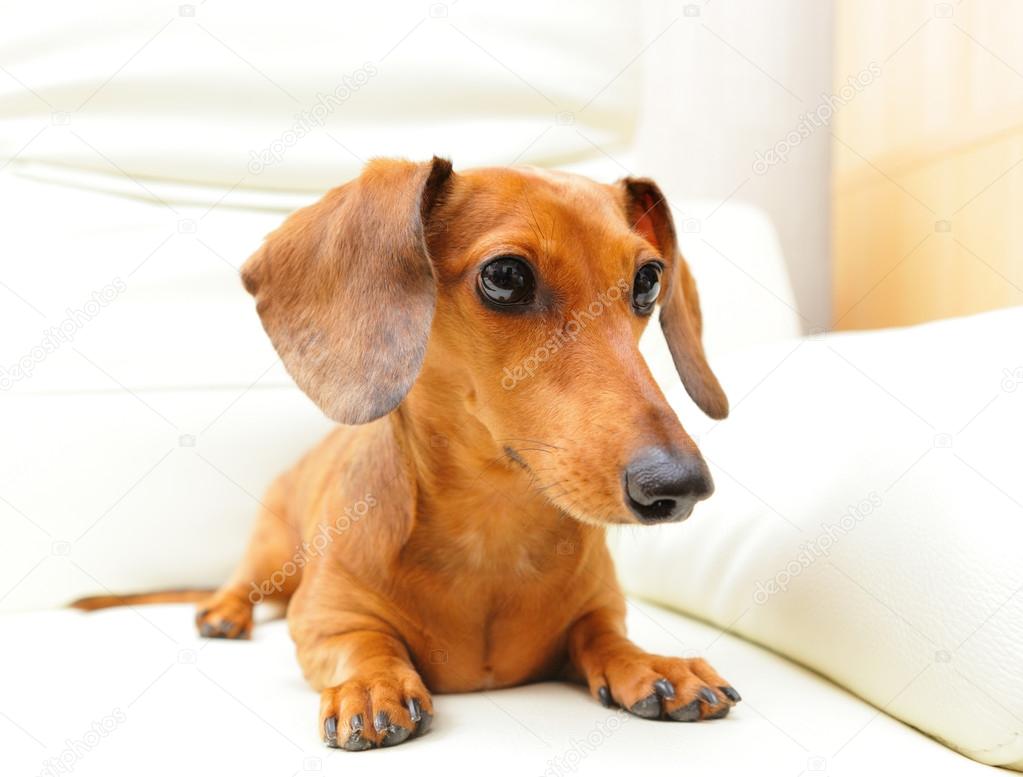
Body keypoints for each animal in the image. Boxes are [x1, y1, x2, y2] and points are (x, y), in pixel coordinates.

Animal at [193, 156, 736, 748]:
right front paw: (373, 683)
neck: (492, 532)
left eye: (648, 279)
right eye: (506, 276)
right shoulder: (323, 617)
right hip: (273, 550)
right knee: (246, 583)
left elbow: (605, 636)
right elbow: (363, 640)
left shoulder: (599, 610)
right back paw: (222, 613)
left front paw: (654, 665)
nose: (681, 486)